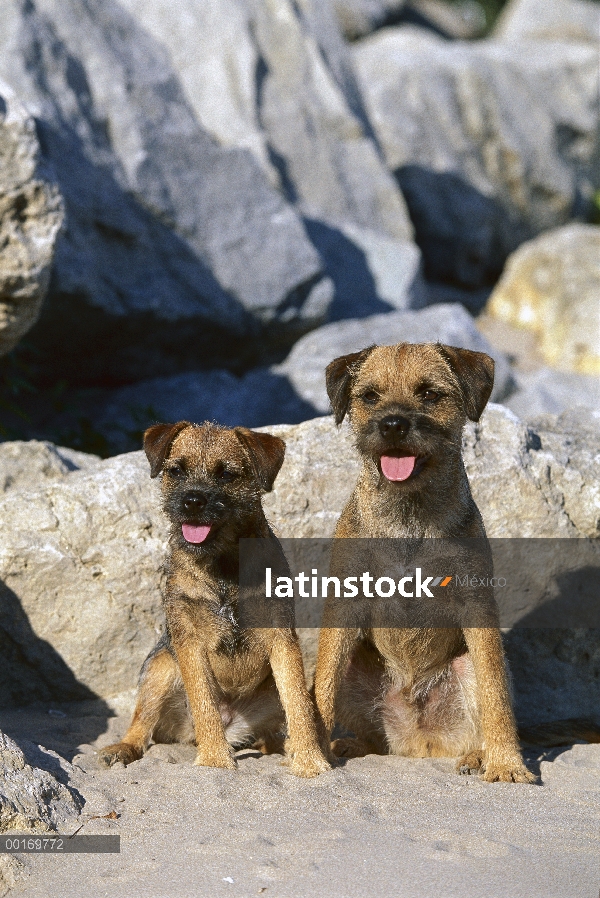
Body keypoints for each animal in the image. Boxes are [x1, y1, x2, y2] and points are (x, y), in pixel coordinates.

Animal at [101, 420, 330, 776]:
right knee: (141, 723)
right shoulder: (188, 642)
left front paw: (309, 760)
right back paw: (123, 748)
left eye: (226, 475)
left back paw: (287, 746)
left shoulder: (282, 638)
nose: (192, 500)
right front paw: (214, 759)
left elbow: (298, 703)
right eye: (176, 471)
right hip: (161, 666)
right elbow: (203, 703)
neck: (223, 568)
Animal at [312, 340, 536, 780]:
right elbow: (323, 687)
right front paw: (310, 751)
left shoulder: (477, 605)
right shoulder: (342, 604)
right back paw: (349, 744)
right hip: (357, 664)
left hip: (464, 669)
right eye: (370, 396)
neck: (409, 517)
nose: (393, 425)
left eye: (430, 394)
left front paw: (506, 762)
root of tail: (418, 743)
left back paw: (479, 755)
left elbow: (496, 693)